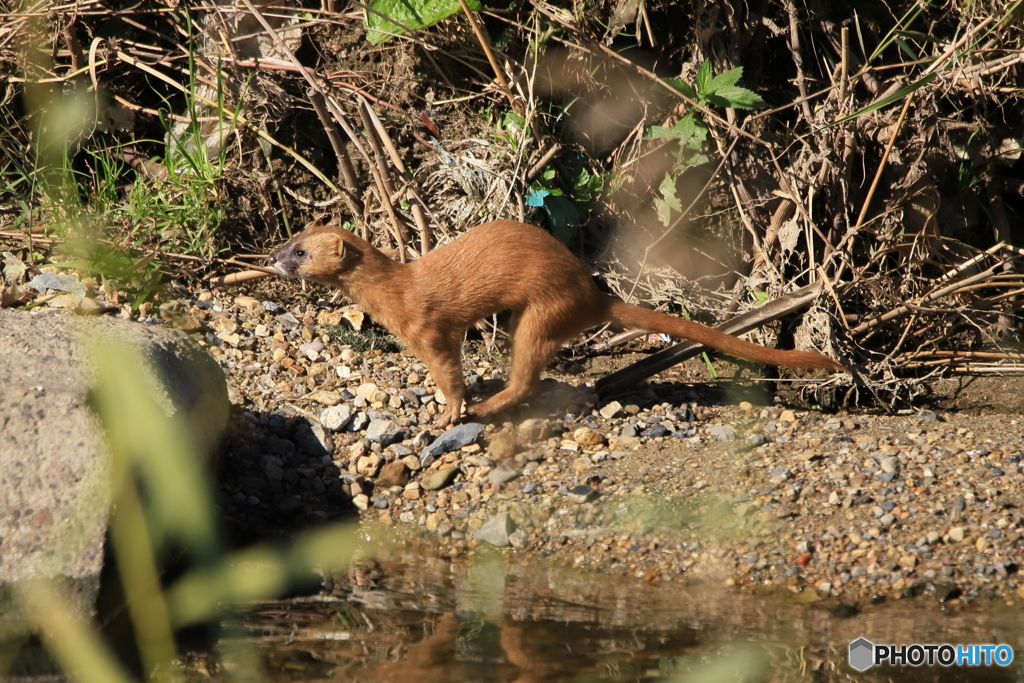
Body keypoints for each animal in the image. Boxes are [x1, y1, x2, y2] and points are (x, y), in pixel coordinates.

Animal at [268, 220, 843, 428]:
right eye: (292, 238)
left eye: (299, 251)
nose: (271, 256)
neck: (396, 294)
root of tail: (593, 296)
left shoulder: (430, 330)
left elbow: (449, 371)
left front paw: (450, 411)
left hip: (540, 313)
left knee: (527, 375)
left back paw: (489, 407)